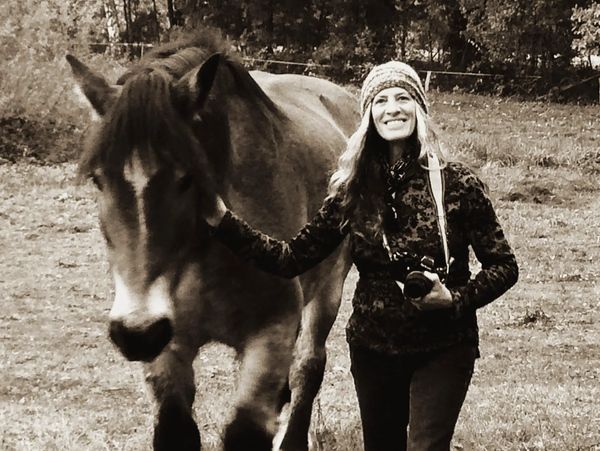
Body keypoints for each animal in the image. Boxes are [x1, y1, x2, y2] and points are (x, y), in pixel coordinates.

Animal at [67, 31, 356, 451]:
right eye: (97, 179)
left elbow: (246, 430)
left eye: (188, 178)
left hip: (329, 289)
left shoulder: (271, 336)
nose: (136, 332)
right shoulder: (168, 348)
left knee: (309, 367)